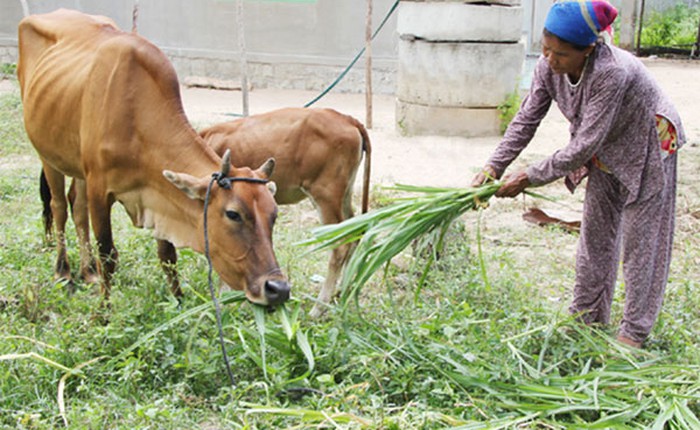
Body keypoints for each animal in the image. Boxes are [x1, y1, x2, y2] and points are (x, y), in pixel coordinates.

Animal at [19, 9, 288, 306]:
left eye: (274, 214)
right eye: (233, 214)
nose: (278, 288)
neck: (137, 118)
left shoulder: (158, 192)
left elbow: (167, 256)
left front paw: (178, 302)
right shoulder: (100, 189)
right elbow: (108, 255)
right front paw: (102, 311)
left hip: (77, 166)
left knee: (77, 206)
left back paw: (87, 271)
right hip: (47, 155)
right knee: (58, 207)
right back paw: (63, 273)